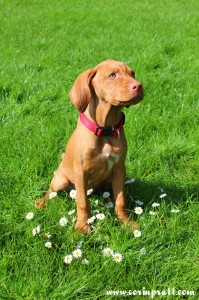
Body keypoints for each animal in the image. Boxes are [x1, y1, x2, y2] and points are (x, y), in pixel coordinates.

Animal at [35, 59, 144, 232]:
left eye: (132, 73)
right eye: (112, 75)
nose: (138, 86)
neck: (106, 130)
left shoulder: (120, 169)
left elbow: (121, 199)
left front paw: (126, 222)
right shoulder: (81, 172)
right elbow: (82, 202)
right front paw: (82, 226)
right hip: (60, 180)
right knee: (51, 191)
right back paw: (42, 202)